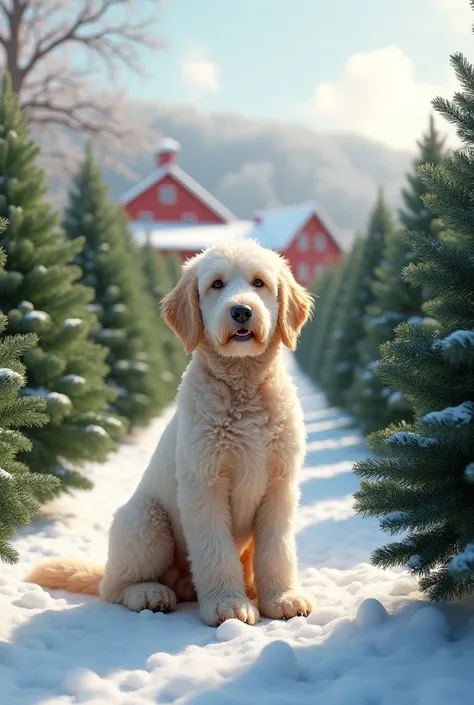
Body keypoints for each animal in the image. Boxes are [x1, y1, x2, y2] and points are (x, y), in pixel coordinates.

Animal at [26, 239, 314, 624]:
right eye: (217, 284)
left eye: (259, 283)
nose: (241, 312)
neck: (243, 389)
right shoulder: (203, 484)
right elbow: (214, 551)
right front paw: (227, 604)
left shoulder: (280, 484)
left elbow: (277, 550)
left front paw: (282, 598)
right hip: (146, 520)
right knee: (112, 586)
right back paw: (150, 593)